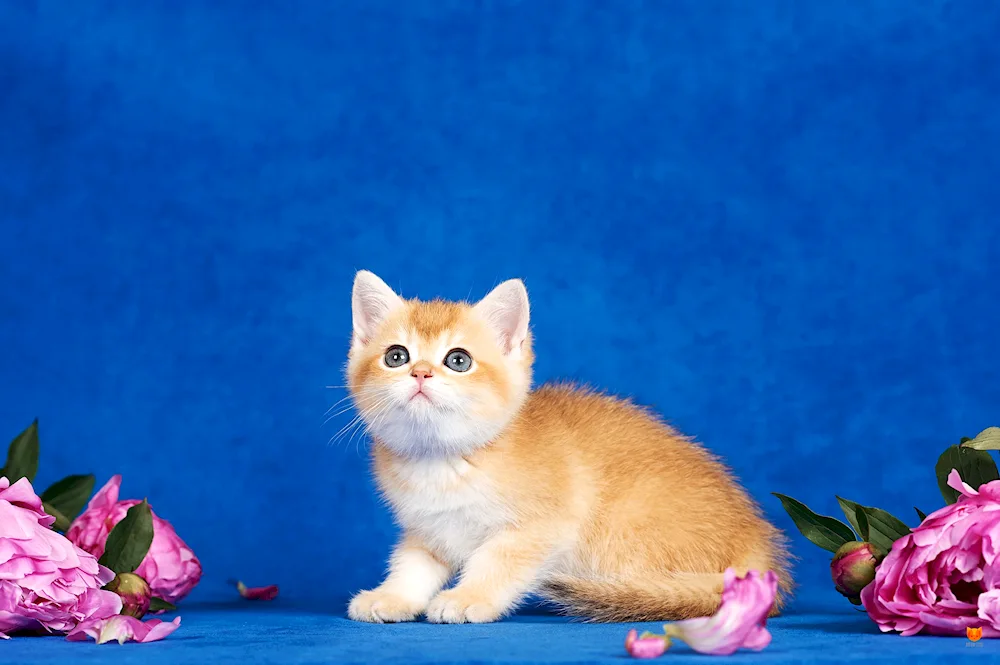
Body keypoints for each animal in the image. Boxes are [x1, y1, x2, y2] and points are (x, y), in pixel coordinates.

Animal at [348, 270, 792, 624]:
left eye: (458, 360)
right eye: (396, 356)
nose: (421, 373)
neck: (444, 461)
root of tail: (757, 542)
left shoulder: (543, 526)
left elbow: (496, 562)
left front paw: (468, 597)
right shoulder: (426, 530)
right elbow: (413, 565)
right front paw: (392, 596)